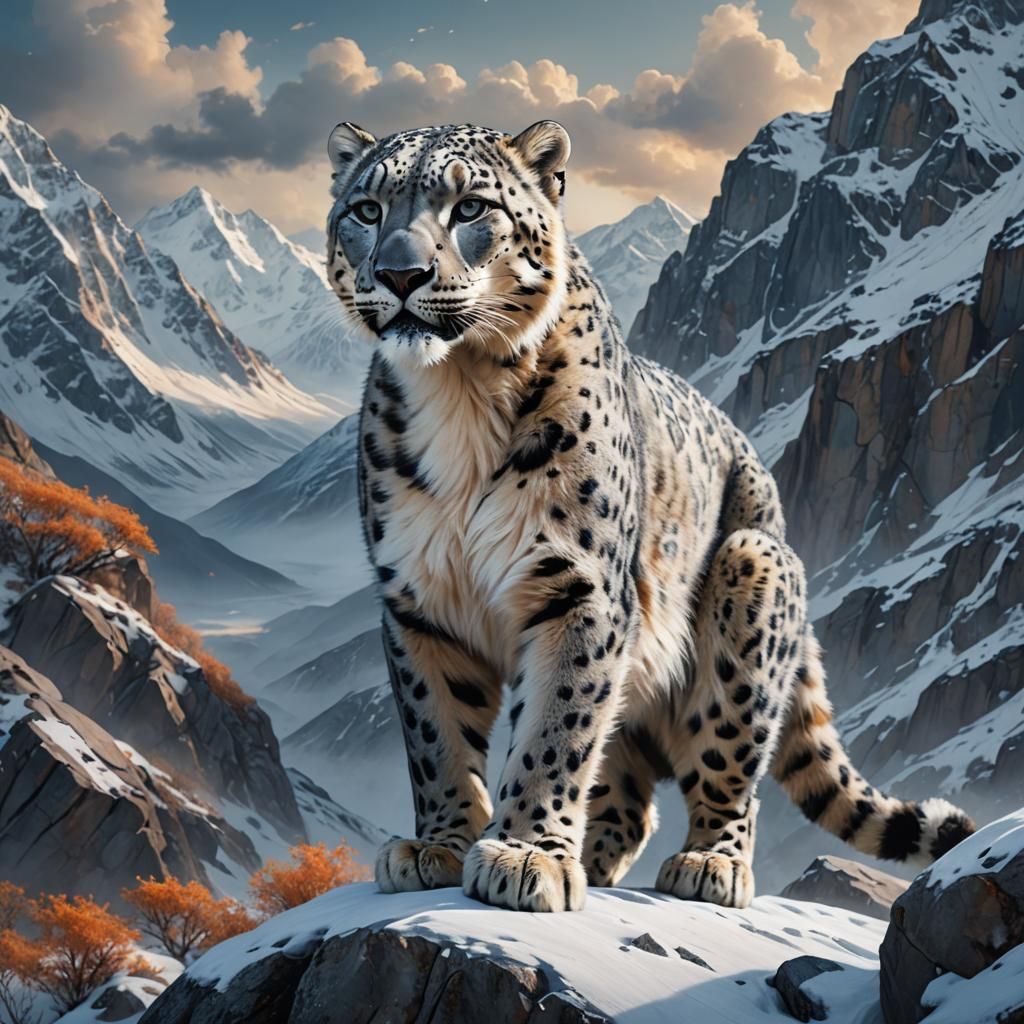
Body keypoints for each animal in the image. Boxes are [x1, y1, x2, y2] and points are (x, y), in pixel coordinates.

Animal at [324, 118, 976, 912]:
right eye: (366, 210)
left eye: (471, 206)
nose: (400, 275)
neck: (460, 391)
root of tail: (775, 509)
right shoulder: (419, 600)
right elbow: (436, 733)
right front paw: (442, 845)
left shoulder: (579, 585)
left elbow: (556, 726)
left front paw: (524, 854)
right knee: (630, 788)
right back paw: (598, 857)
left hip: (748, 579)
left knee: (730, 769)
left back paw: (708, 865)